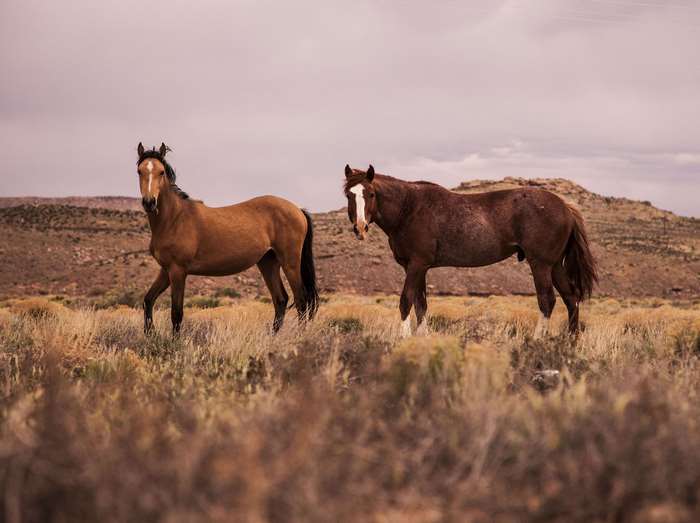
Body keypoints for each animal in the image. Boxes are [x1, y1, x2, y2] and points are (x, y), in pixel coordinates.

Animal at [136, 142, 318, 335]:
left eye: (161, 172)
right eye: (139, 171)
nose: (149, 202)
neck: (174, 219)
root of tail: (297, 210)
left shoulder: (178, 271)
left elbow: (176, 313)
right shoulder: (166, 270)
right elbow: (148, 300)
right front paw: (150, 334)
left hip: (290, 263)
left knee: (301, 301)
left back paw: (299, 336)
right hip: (268, 263)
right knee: (281, 299)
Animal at [343, 164, 598, 337]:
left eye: (371, 194)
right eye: (348, 195)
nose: (360, 228)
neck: (409, 208)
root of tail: (565, 206)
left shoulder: (416, 265)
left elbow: (406, 301)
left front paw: (404, 338)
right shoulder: (418, 268)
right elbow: (421, 304)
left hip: (541, 265)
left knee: (547, 300)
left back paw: (537, 340)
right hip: (554, 266)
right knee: (571, 298)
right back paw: (570, 341)